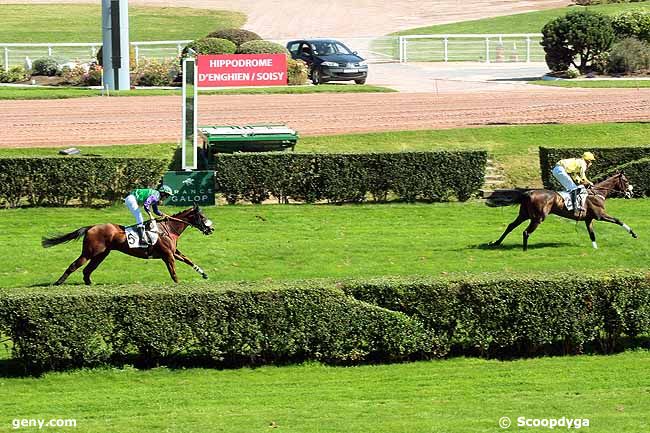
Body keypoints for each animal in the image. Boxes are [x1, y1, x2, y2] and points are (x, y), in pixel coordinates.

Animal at [41, 204, 214, 286]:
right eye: (202, 216)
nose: (211, 228)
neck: (169, 228)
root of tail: (91, 227)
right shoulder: (167, 255)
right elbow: (173, 273)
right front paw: (178, 284)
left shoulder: (174, 252)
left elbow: (189, 260)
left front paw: (204, 274)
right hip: (89, 252)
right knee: (74, 266)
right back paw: (58, 283)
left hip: (101, 254)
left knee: (87, 270)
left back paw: (89, 283)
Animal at [486, 173, 632, 250]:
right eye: (625, 181)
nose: (630, 192)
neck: (597, 193)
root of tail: (529, 192)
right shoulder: (600, 215)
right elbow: (618, 220)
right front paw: (633, 233)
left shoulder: (588, 219)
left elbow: (592, 234)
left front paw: (595, 248)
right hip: (538, 218)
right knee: (526, 232)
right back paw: (525, 249)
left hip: (524, 215)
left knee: (510, 226)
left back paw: (497, 243)